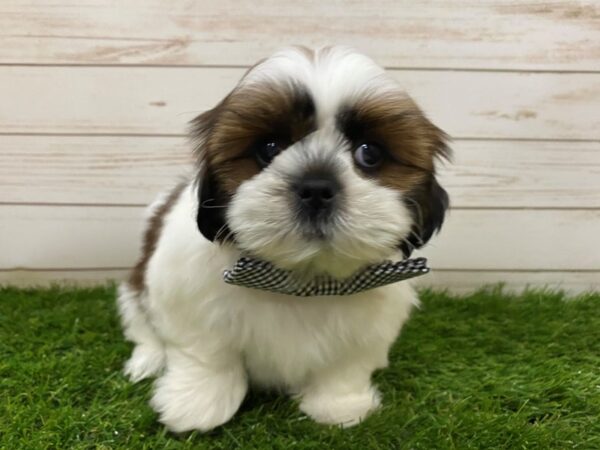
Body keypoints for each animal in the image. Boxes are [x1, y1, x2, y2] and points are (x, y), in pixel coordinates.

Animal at [117, 45, 448, 432]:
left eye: (369, 153)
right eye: (269, 147)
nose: (316, 187)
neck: (300, 279)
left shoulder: (366, 331)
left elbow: (344, 367)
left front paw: (339, 406)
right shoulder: (189, 305)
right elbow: (207, 355)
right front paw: (197, 405)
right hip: (134, 293)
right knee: (143, 328)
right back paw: (148, 361)